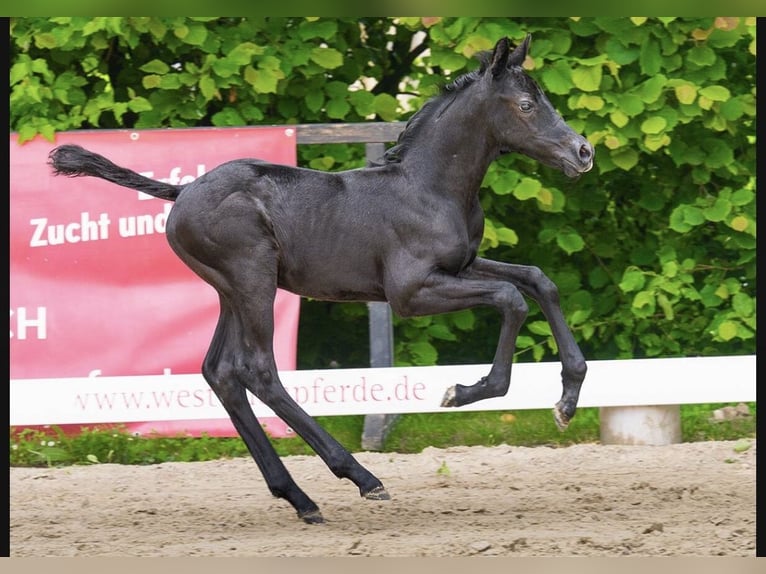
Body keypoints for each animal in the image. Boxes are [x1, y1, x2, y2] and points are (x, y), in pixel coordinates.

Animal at [48, 35, 594, 524]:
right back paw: (360, 477)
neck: (429, 187)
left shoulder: (460, 267)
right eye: (526, 105)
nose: (583, 152)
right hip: (253, 281)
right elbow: (510, 298)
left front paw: (567, 401)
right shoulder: (411, 292)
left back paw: (299, 498)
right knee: (257, 370)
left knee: (219, 371)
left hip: (229, 291)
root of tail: (181, 193)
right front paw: (463, 392)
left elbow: (537, 280)